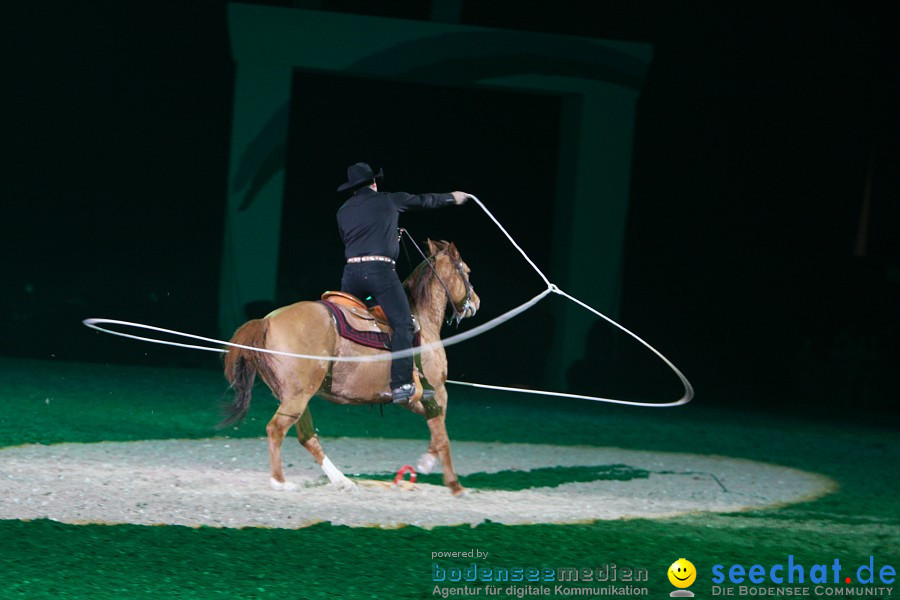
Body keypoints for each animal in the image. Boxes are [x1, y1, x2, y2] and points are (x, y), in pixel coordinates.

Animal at [221, 241, 482, 494]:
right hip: (297, 397)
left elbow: (435, 425)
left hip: (295, 397)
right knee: (276, 429)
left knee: (306, 436)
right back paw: (280, 482)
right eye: (467, 271)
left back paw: (342, 481)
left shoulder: (414, 397)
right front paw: (453, 483)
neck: (421, 320)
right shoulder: (437, 390)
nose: (476, 302)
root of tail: (267, 320)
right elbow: (442, 434)